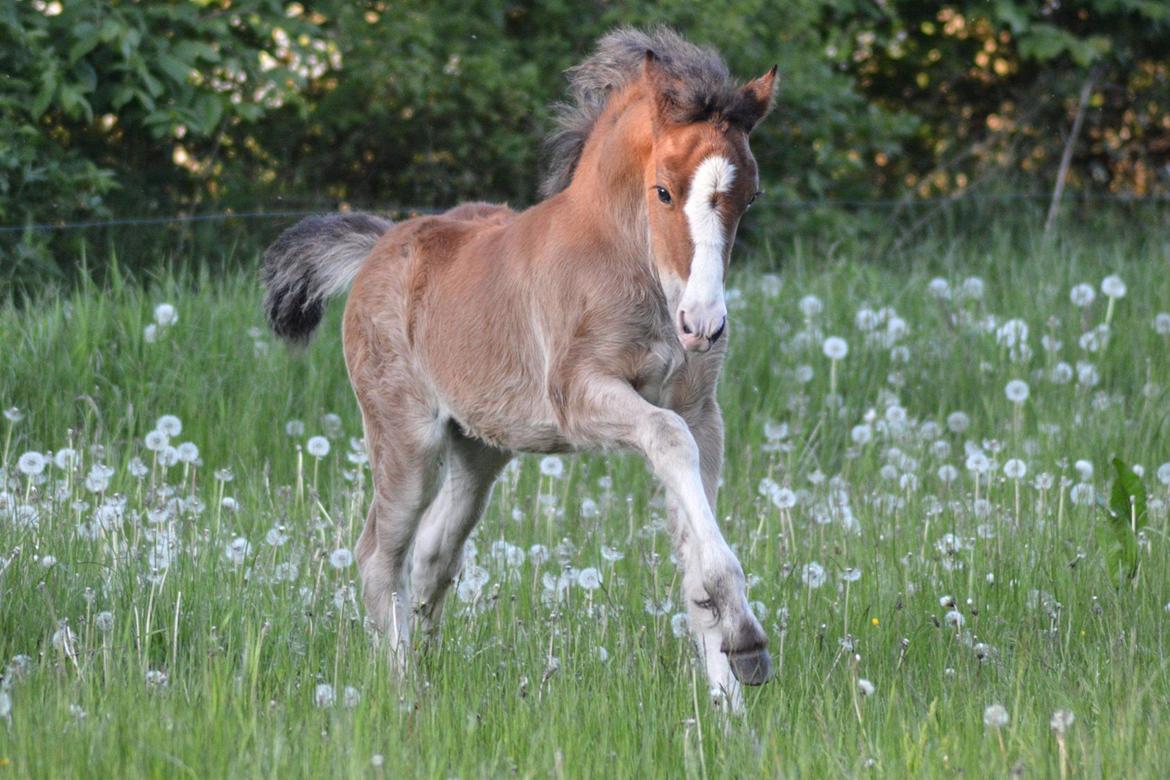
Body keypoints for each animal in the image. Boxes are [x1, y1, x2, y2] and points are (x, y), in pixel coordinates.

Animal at [265, 27, 776, 711]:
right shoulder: (581, 398)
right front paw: (745, 642)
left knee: (434, 552)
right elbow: (668, 442)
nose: (702, 323)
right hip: (406, 439)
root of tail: (380, 243)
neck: (629, 267)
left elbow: (693, 549)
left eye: (749, 196)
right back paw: (404, 691)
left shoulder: (701, 412)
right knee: (378, 555)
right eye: (663, 191)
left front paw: (730, 699)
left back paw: (426, 670)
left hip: (480, 448)